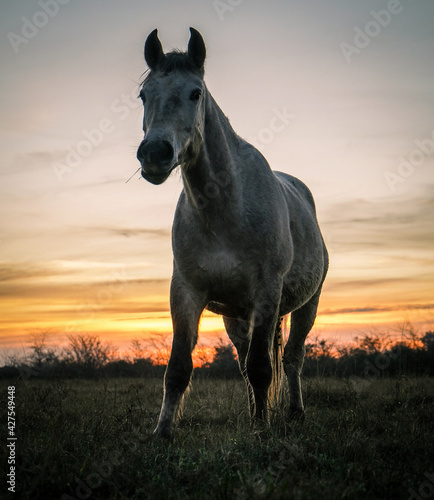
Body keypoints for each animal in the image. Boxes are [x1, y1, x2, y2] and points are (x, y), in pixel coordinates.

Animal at [137, 29, 328, 440]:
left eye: (195, 93)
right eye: (143, 95)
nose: (154, 154)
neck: (225, 210)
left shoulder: (268, 293)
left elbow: (262, 367)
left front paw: (261, 430)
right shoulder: (186, 292)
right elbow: (178, 368)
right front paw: (162, 432)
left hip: (307, 305)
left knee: (291, 359)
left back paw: (293, 413)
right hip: (237, 319)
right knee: (247, 362)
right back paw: (255, 411)